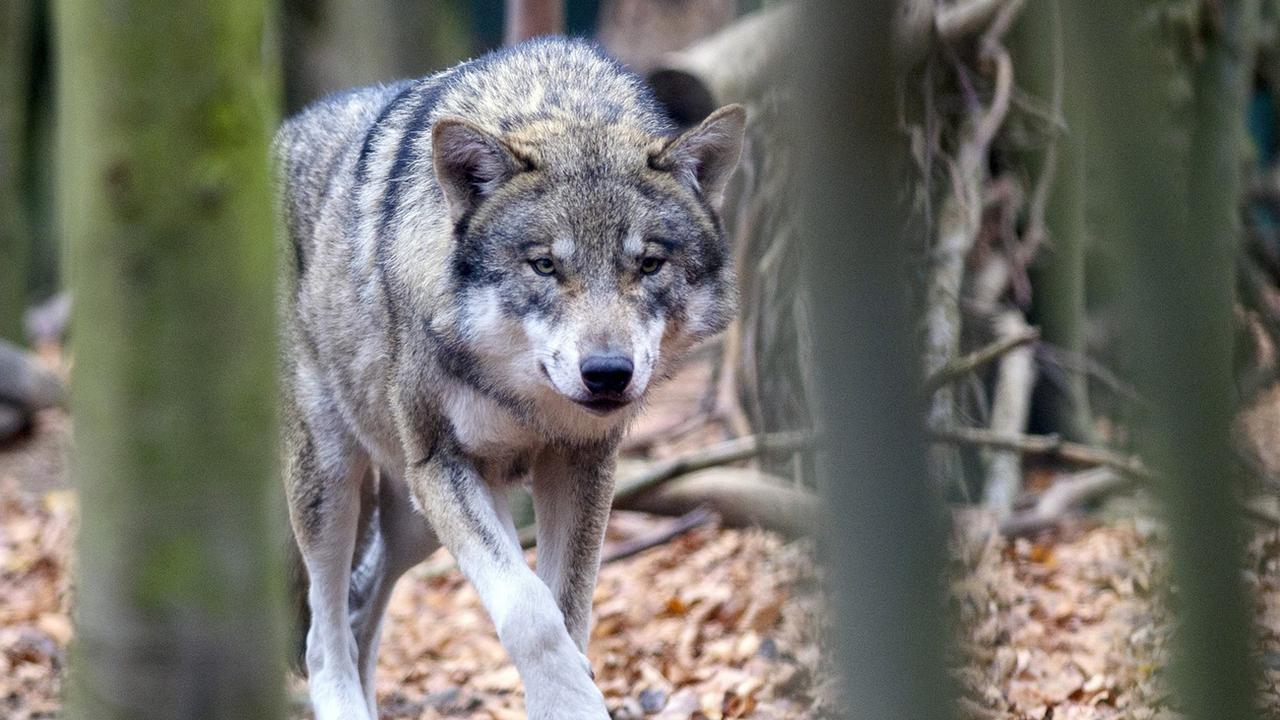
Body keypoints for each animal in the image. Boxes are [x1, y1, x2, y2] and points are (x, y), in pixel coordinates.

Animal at [275, 39, 747, 717]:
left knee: (363, 609)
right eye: (545, 265)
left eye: (649, 264)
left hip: (412, 520)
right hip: (336, 482)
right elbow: (530, 610)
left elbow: (564, 607)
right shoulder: (444, 465)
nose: (608, 374)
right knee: (323, 631)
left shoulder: (581, 461)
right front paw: (573, 701)